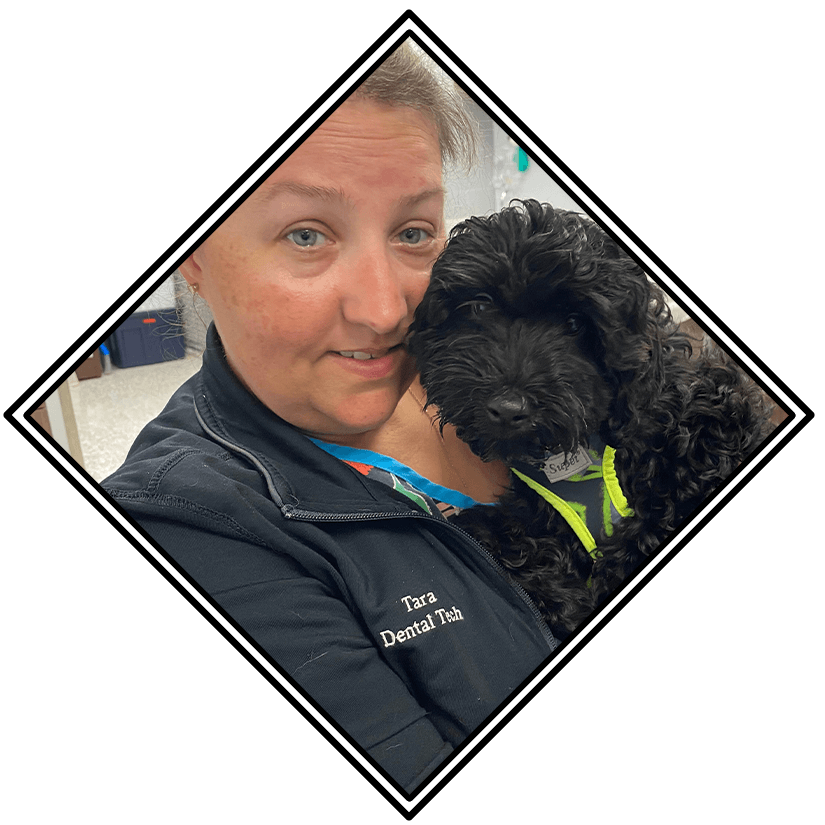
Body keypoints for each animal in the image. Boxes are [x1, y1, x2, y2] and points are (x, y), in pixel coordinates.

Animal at [406, 200, 772, 644]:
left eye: (576, 324)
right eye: (478, 306)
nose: (507, 408)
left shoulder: (721, 418)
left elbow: (661, 513)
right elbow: (499, 531)